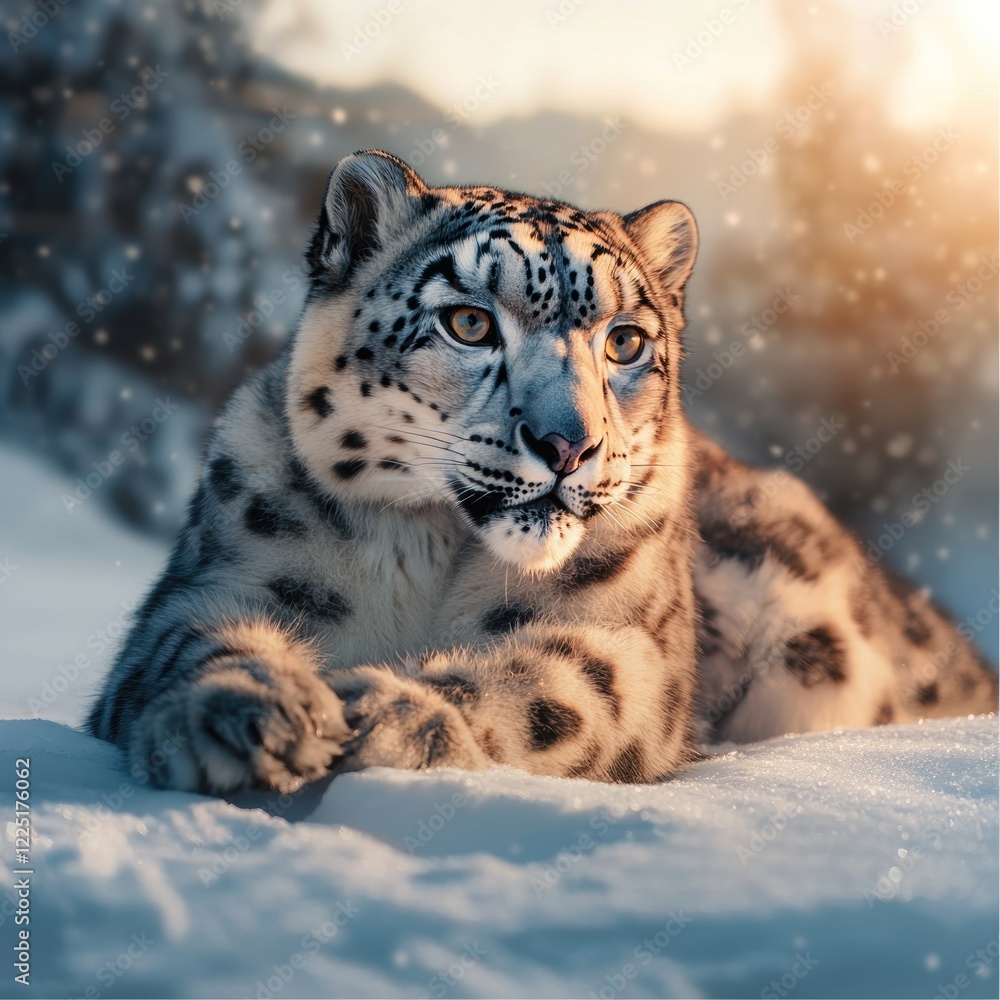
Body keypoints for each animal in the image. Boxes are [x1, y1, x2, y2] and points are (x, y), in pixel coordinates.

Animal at [87, 149, 998, 794]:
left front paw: (387, 710)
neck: (433, 557)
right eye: (468, 322)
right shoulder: (222, 580)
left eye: (625, 340)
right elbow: (188, 646)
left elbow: (559, 686)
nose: (569, 444)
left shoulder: (627, 638)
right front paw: (249, 715)